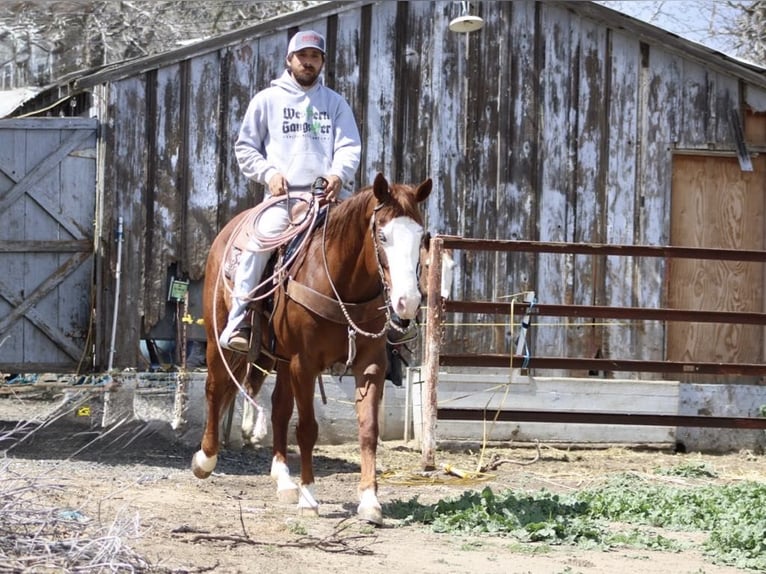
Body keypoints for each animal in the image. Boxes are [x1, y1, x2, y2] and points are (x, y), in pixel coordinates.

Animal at [191, 172, 432, 524]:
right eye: (382, 235)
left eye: (421, 237)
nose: (408, 302)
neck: (343, 285)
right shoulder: (303, 363)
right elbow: (307, 429)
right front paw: (309, 497)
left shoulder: (370, 365)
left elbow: (368, 429)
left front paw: (370, 500)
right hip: (219, 337)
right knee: (215, 387)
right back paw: (205, 459)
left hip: (280, 358)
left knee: (278, 408)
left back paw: (283, 480)